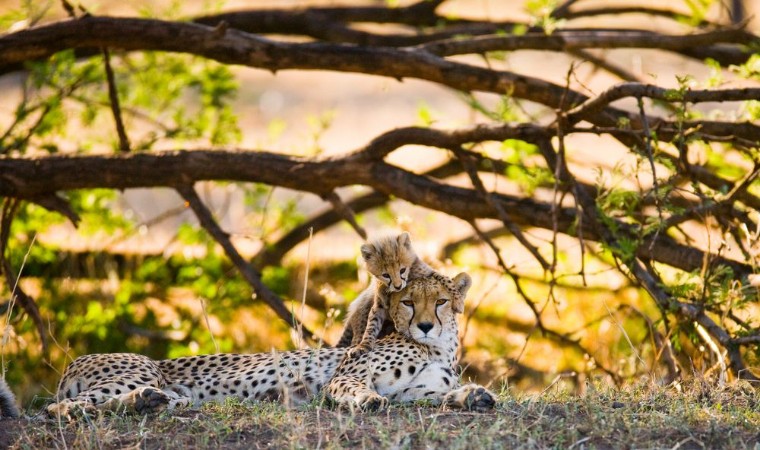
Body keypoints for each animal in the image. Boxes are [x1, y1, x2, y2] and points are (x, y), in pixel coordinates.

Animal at [45, 271, 495, 418]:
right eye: (408, 302)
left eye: (440, 301)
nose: (425, 326)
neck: (437, 348)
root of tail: (74, 361)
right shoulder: (348, 374)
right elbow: (356, 388)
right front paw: (366, 400)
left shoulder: (412, 393)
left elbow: (438, 397)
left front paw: (473, 396)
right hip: (141, 369)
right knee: (61, 408)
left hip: (168, 390)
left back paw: (150, 402)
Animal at [336, 232, 434, 360]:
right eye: (386, 275)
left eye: (402, 270)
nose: (398, 286)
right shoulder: (378, 307)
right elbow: (371, 326)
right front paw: (364, 345)